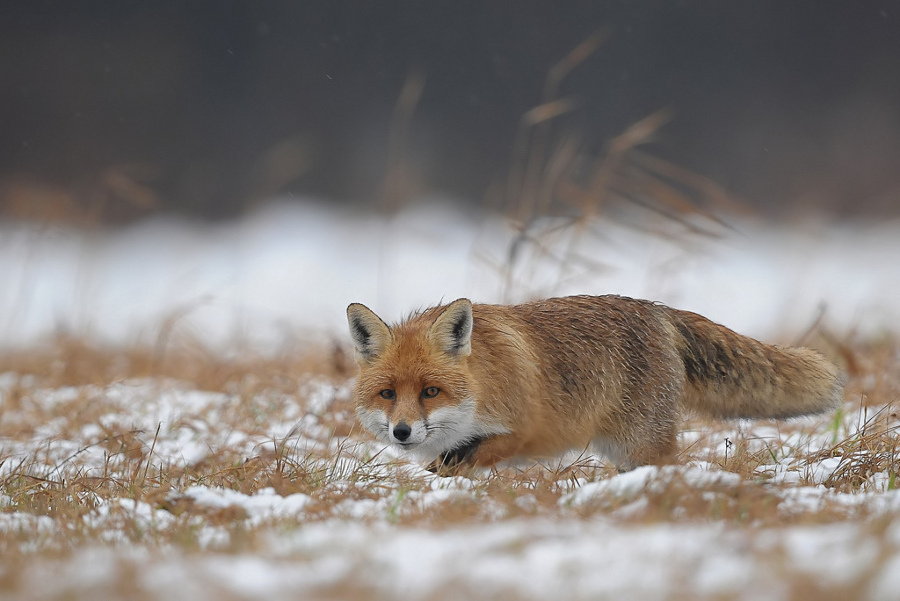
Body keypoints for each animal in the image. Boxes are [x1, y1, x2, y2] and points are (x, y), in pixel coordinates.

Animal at [344, 296, 844, 474]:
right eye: (388, 394)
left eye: (431, 391)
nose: (402, 432)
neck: (483, 386)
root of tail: (656, 309)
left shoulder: (521, 433)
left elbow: (459, 461)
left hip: (640, 444)